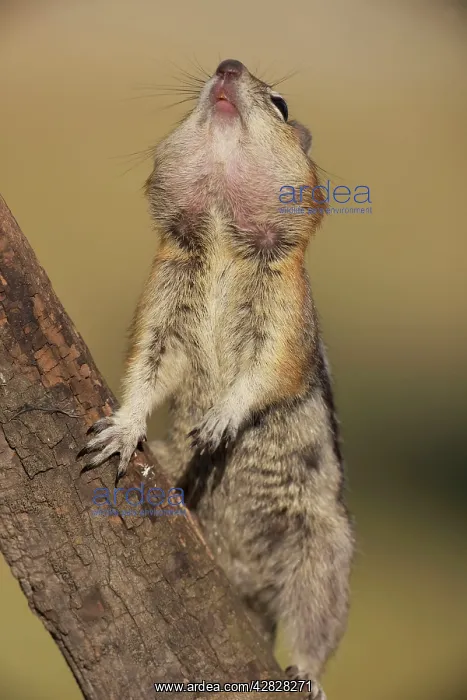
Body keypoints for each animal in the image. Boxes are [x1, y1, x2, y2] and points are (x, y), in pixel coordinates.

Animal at [78, 59, 354, 700]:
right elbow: (149, 365)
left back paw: (306, 675)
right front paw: (124, 426)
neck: (225, 237)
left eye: (281, 104)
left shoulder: (285, 316)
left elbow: (265, 371)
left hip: (323, 552)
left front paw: (222, 418)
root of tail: (244, 584)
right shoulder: (162, 298)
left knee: (314, 625)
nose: (229, 66)